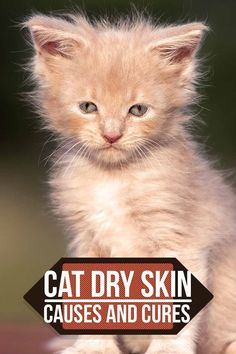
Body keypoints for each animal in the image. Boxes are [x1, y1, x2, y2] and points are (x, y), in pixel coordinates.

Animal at [24, 12, 236, 354]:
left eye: (138, 110)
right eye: (88, 107)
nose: (112, 135)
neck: (115, 177)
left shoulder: (179, 237)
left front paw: (167, 351)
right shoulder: (87, 238)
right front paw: (93, 347)